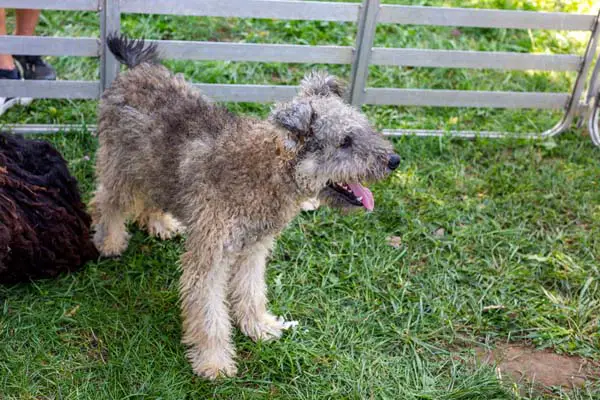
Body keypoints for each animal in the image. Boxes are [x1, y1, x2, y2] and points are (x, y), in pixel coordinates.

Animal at [94, 34, 400, 378]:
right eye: (345, 141)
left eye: (364, 128)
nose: (394, 160)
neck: (270, 171)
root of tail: (138, 68)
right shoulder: (209, 258)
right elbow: (209, 314)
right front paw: (214, 361)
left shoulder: (253, 249)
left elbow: (251, 292)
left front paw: (258, 326)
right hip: (121, 166)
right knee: (106, 200)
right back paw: (110, 240)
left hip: (153, 168)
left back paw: (159, 221)